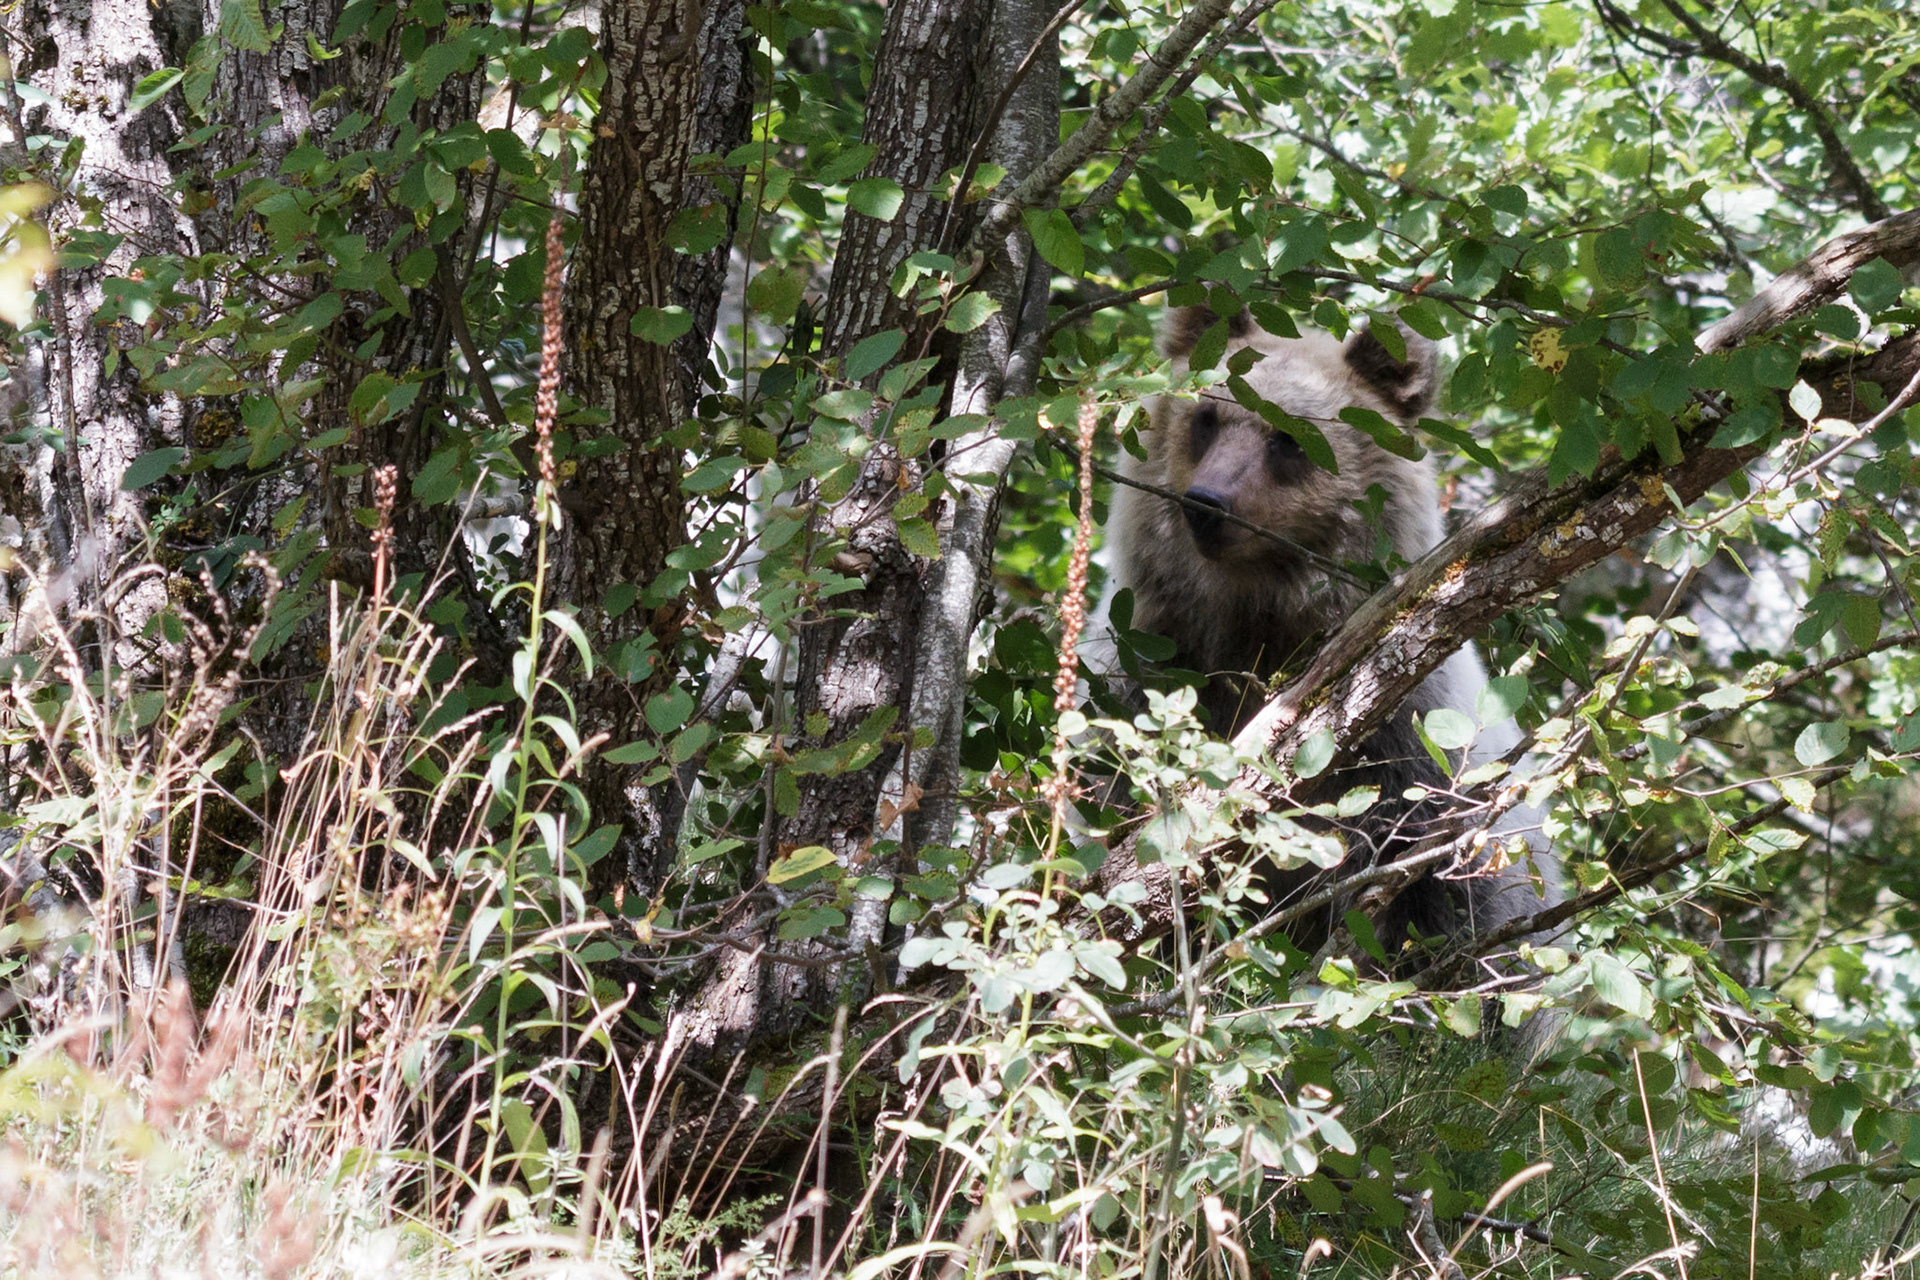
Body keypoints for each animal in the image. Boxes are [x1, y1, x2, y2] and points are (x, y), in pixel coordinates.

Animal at [1105, 305, 1554, 958]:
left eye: (1290, 437)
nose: (1206, 504)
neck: (1255, 618)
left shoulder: (1403, 755)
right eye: (1206, 417)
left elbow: (1417, 900)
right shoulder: (1151, 668)